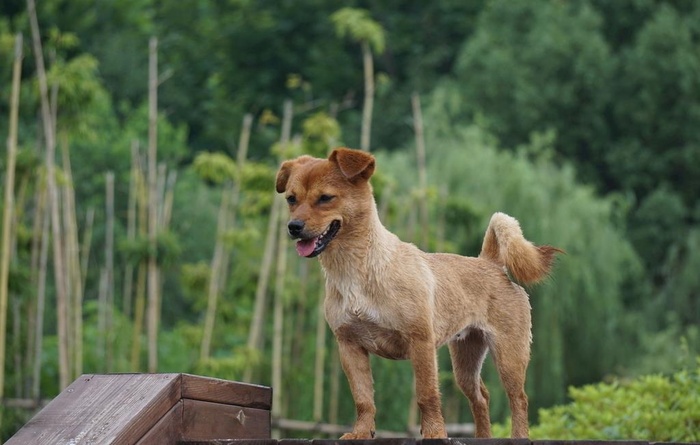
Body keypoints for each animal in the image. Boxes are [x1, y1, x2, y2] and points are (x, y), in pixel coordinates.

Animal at [274, 147, 564, 438]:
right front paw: (361, 432)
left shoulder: (421, 342)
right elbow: (364, 399)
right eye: (291, 199)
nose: (293, 226)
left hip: (509, 356)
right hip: (466, 359)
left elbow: (426, 395)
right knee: (481, 397)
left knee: (519, 399)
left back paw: (519, 436)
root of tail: (491, 262)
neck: (356, 270)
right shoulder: (349, 346)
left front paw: (435, 433)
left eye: (325, 198)